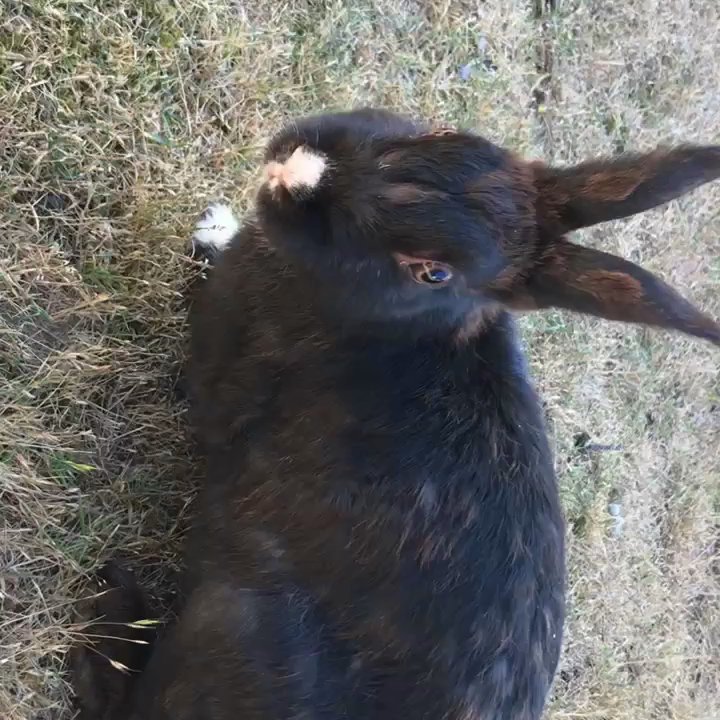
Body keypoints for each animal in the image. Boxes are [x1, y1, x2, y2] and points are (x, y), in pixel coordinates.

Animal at [72, 108, 720, 720]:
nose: (300, 170)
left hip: (225, 622)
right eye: (445, 134)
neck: (408, 326)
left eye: (433, 272)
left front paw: (210, 234)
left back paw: (112, 605)